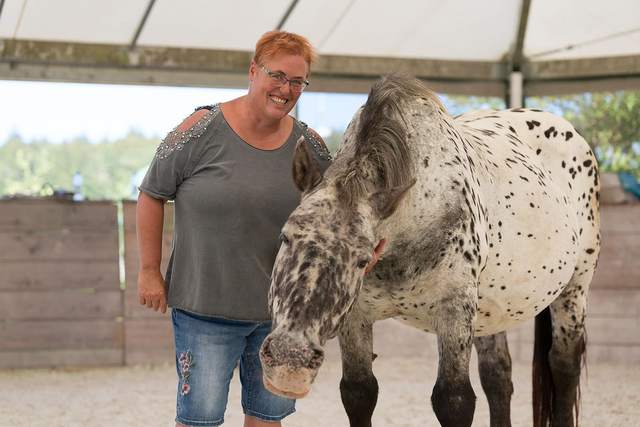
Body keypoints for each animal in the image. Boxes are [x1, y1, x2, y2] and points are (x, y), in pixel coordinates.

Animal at [259, 75, 600, 427]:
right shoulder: (355, 317)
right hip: (490, 309)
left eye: (362, 259)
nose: (290, 362)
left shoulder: (454, 311)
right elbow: (358, 392)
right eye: (285, 237)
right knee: (497, 376)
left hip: (574, 289)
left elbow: (454, 400)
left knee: (563, 365)